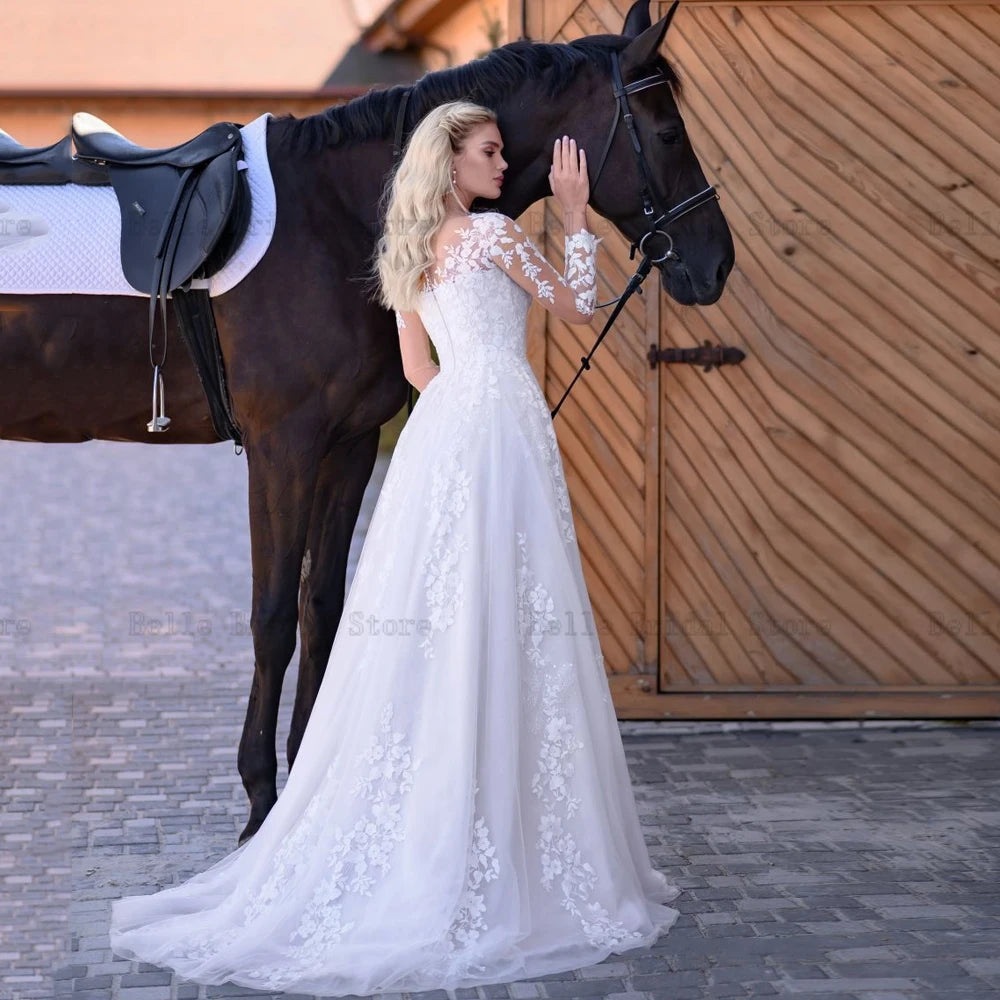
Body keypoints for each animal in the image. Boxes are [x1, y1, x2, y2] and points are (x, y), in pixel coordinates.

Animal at [0, 0, 736, 844]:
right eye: (669, 132)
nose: (717, 264)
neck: (337, 217)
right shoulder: (282, 446)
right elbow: (272, 616)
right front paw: (261, 803)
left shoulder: (345, 444)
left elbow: (322, 607)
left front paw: (307, 786)